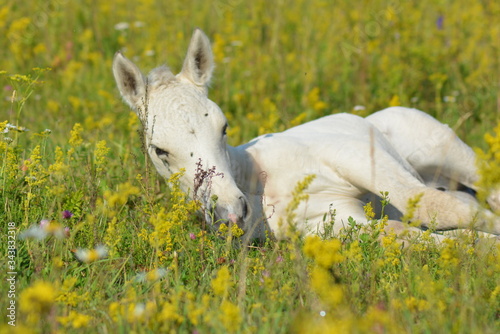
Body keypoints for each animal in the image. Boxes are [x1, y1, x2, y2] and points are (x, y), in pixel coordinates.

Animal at [113, 28, 500, 241]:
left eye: (223, 127)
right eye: (160, 151)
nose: (230, 213)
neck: (258, 184)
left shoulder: (355, 156)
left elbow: (435, 206)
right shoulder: (336, 223)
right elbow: (424, 234)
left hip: (448, 153)